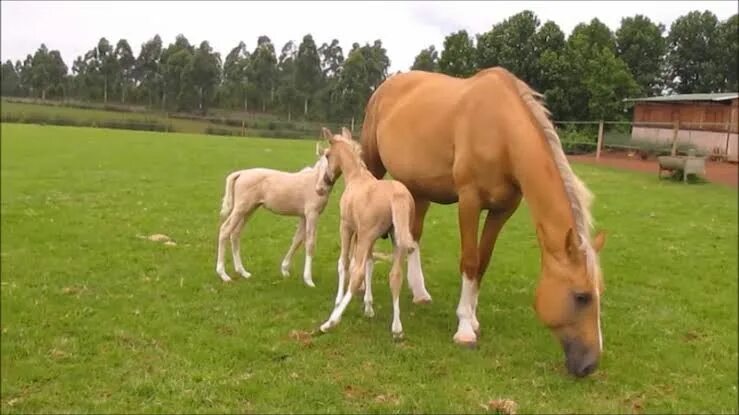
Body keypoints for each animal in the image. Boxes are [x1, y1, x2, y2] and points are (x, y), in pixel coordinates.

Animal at [217, 148, 336, 288]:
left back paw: (243, 272)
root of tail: (241, 173)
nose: (322, 187)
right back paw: (224, 275)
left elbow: (297, 240)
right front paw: (308, 280)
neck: (313, 181)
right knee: (225, 230)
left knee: (235, 234)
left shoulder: (303, 216)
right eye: (322, 163)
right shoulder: (312, 214)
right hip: (240, 209)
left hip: (249, 210)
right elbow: (310, 243)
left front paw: (285, 270)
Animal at [316, 128, 430, 340]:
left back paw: (331, 322)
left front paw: (338, 301)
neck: (356, 177)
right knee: (395, 276)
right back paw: (397, 328)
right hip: (397, 240)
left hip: (368, 236)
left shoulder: (348, 228)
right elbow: (370, 263)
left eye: (327, 155)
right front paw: (369, 307)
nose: (323, 185)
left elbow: (344, 263)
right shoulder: (368, 237)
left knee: (357, 273)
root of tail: (398, 195)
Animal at [358, 67, 608, 376]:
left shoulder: (503, 210)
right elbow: (470, 260)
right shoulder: (469, 201)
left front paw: (473, 319)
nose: (590, 365)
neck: (501, 131)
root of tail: (386, 86)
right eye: (581, 296)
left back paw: (420, 292)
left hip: (419, 189)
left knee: (413, 237)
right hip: (374, 166)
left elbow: (483, 262)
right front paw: (465, 329)